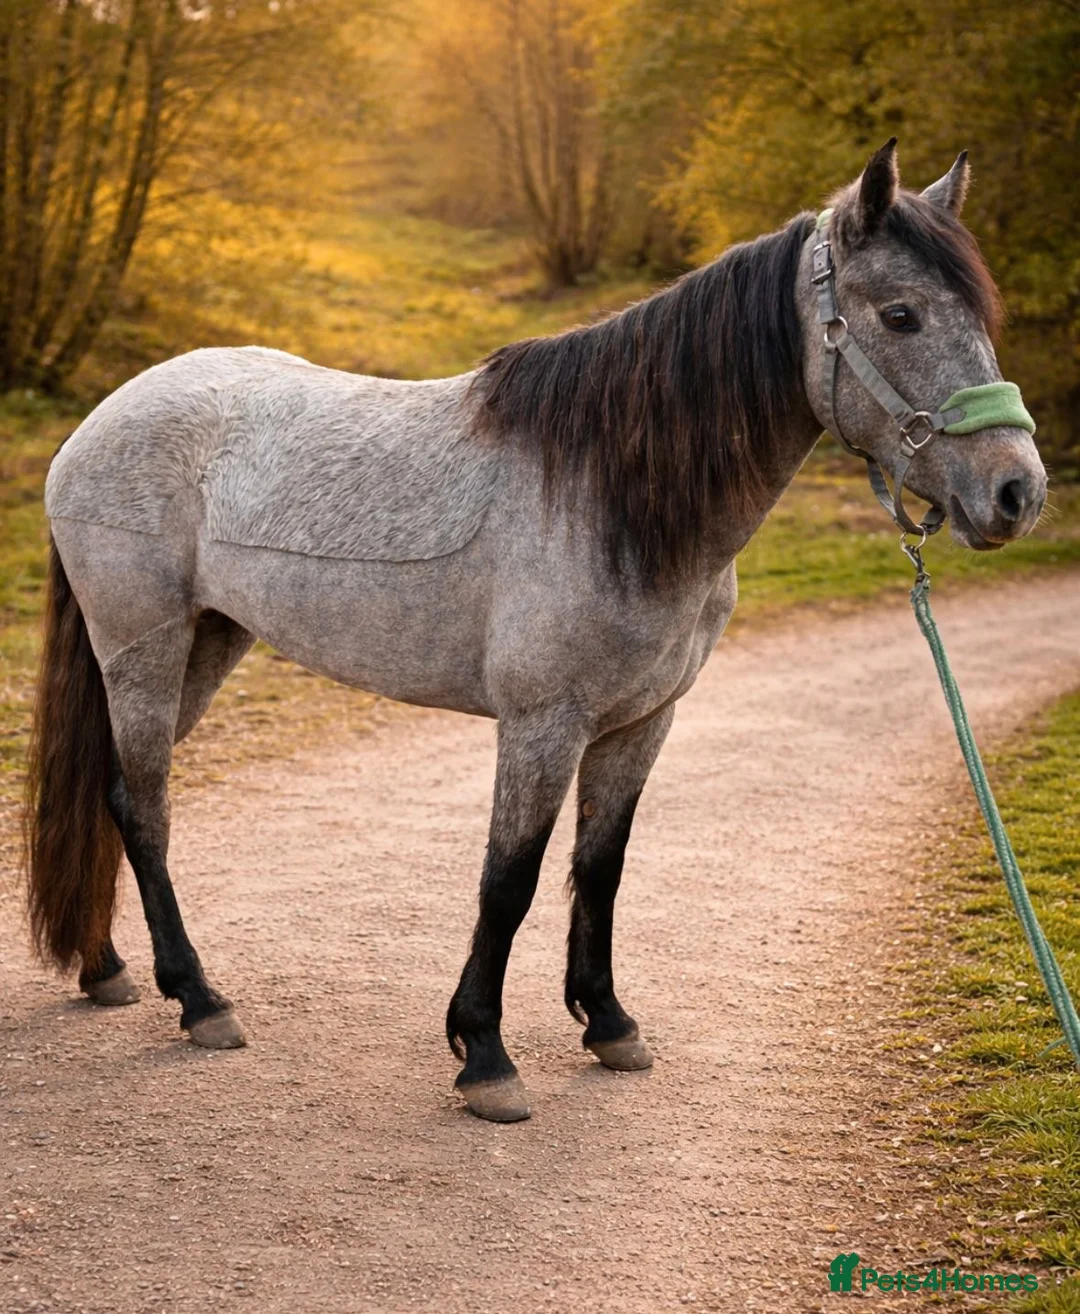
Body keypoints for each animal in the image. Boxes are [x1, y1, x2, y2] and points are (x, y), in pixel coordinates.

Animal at [24, 141, 1045, 1122]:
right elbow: (508, 881)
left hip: (209, 642)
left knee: (114, 792)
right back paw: (199, 1000)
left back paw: (108, 970)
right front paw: (485, 1056)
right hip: (145, 648)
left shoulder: (642, 724)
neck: (610, 493)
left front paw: (610, 1023)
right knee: (145, 807)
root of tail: (100, 421)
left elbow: (600, 868)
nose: (1017, 492)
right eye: (902, 315)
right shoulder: (542, 725)